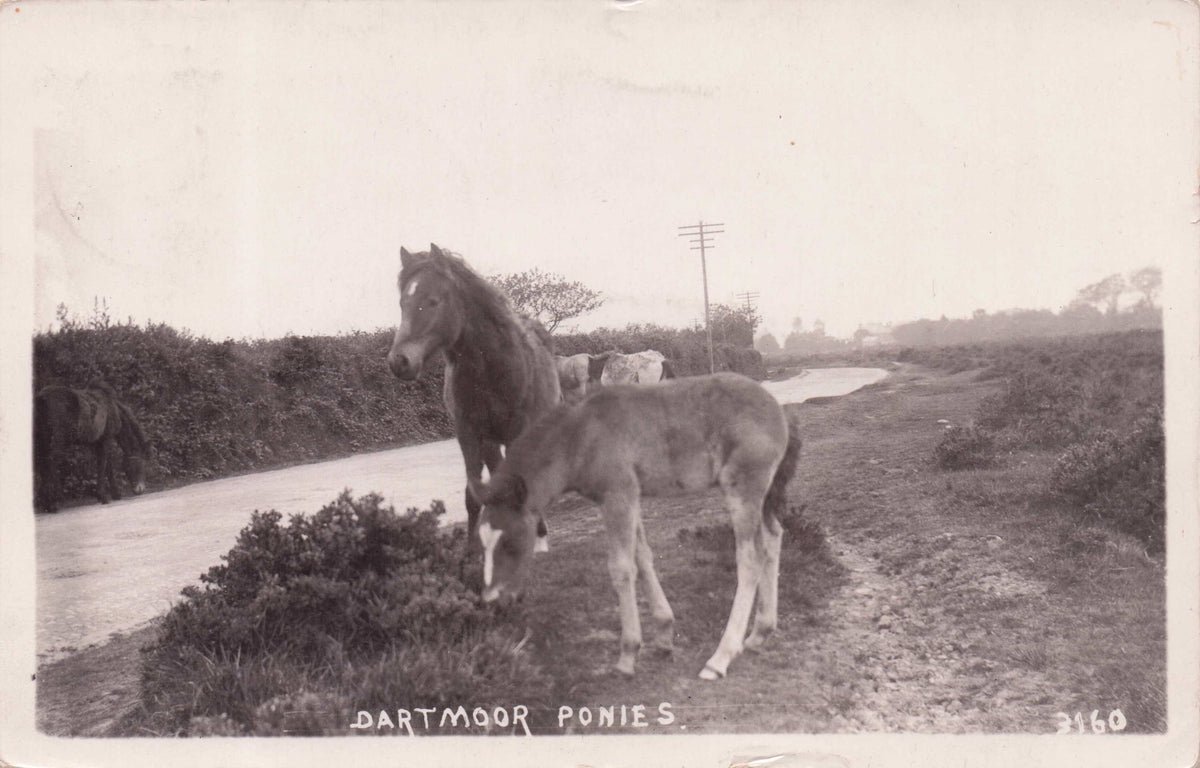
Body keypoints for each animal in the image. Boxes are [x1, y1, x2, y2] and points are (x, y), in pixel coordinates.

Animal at [34, 384, 151, 513]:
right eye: (138, 464)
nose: (139, 489)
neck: (112, 408)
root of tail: (42, 398)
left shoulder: (97, 442)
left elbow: (106, 465)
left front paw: (115, 494)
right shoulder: (106, 439)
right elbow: (104, 465)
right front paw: (103, 496)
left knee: (43, 465)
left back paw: (47, 503)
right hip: (58, 442)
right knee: (51, 464)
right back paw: (53, 503)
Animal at [386, 243, 561, 553]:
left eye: (433, 301)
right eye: (402, 303)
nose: (400, 361)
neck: (491, 368)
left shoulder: (518, 432)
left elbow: (522, 484)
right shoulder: (468, 434)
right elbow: (474, 494)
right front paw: (470, 550)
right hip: (490, 442)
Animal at [473, 372, 803, 680]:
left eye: (511, 543)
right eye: (481, 544)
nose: (493, 601)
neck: (581, 436)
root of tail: (779, 409)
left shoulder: (616, 496)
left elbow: (621, 568)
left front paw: (628, 655)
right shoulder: (632, 497)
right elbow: (642, 558)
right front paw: (664, 634)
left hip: (743, 490)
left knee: (750, 559)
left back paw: (720, 658)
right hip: (764, 496)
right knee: (773, 539)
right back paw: (760, 633)